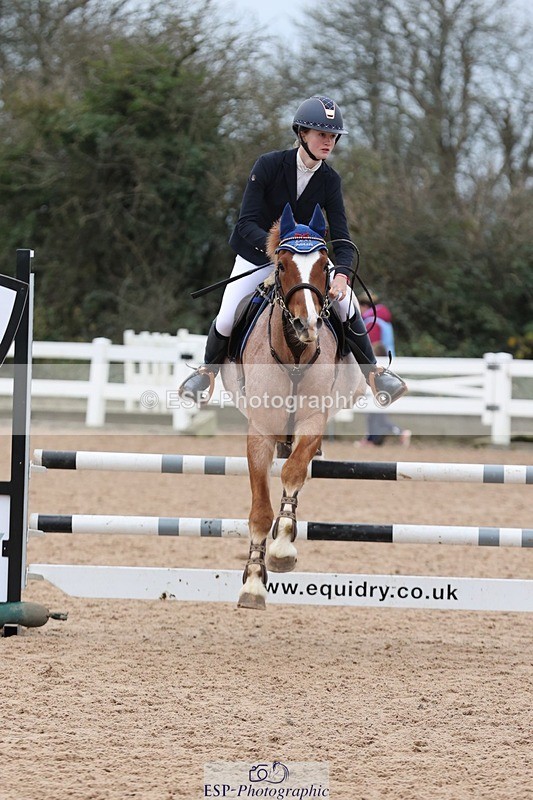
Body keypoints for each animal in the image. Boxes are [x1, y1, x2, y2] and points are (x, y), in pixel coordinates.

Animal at [221, 203, 367, 610]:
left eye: (325, 265)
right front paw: (254, 582)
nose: (307, 325)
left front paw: (283, 545)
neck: (295, 353)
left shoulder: (314, 421)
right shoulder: (260, 431)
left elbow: (293, 474)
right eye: (283, 265)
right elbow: (259, 510)